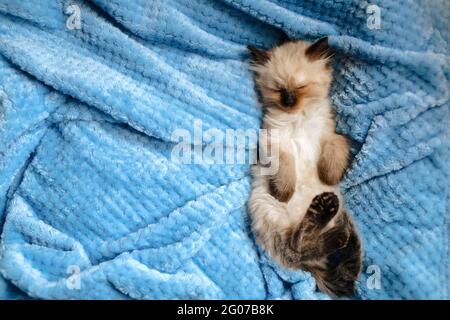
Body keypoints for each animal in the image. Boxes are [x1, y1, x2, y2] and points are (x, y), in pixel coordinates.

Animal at [246, 37, 362, 298]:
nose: (289, 102)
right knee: (296, 244)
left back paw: (330, 221)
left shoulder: (330, 137)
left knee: (308, 244)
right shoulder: (274, 143)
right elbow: (286, 168)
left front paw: (327, 175)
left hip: (331, 214)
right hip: (268, 209)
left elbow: (335, 151)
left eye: (300, 87)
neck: (298, 116)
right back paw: (327, 222)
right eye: (279, 90)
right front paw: (284, 192)